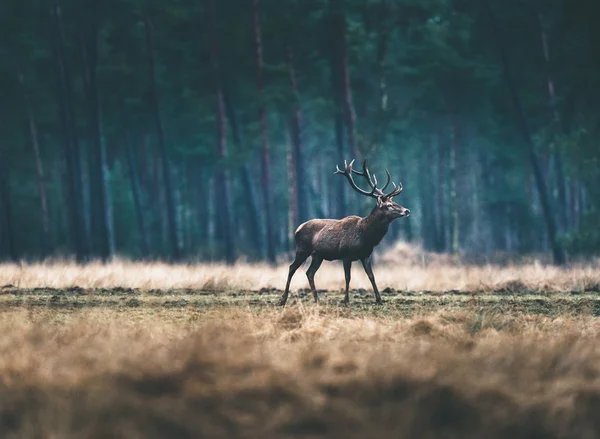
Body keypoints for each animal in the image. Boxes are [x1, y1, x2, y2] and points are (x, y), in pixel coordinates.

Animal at [278, 160, 410, 308]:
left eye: (394, 201)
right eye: (388, 205)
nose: (407, 210)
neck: (366, 236)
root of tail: (297, 229)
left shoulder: (366, 255)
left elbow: (371, 276)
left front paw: (379, 300)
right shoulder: (346, 255)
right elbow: (348, 277)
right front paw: (346, 300)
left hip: (318, 255)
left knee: (309, 272)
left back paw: (317, 300)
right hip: (302, 249)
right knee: (292, 268)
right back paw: (283, 300)